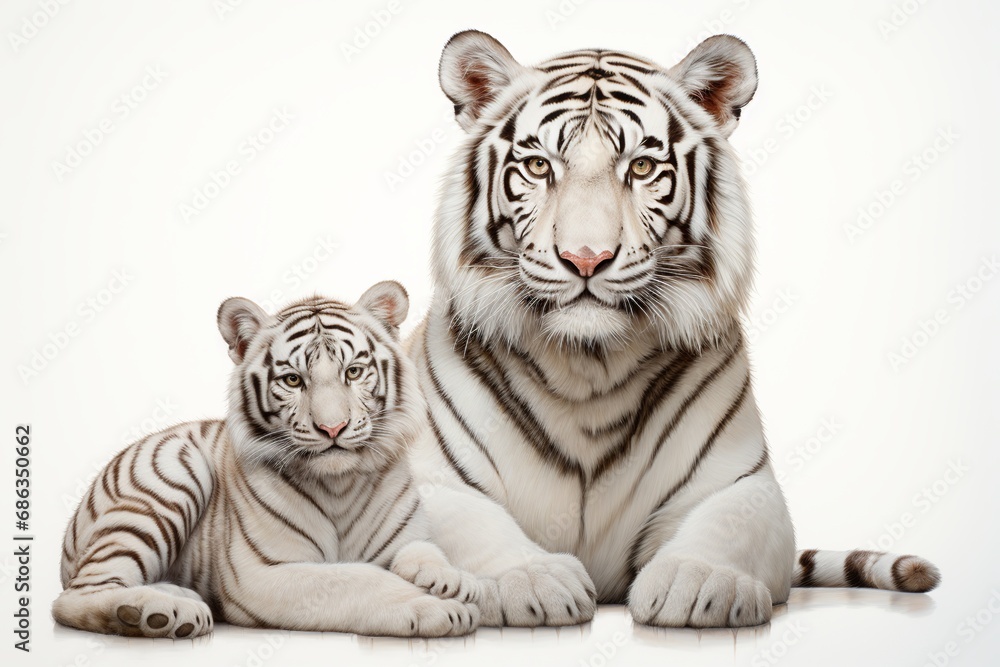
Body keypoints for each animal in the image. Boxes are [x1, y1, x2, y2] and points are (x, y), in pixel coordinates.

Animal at [53, 281, 482, 638]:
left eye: (354, 372)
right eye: (293, 380)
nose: (333, 428)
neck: (339, 483)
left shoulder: (405, 537)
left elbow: (423, 550)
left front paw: (453, 581)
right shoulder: (262, 573)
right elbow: (357, 579)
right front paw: (436, 607)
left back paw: (180, 599)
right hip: (167, 484)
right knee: (75, 597)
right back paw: (160, 614)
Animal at [404, 30, 941, 628]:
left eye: (640, 168)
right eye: (540, 166)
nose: (585, 258)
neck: (588, 365)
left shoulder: (739, 482)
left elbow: (725, 529)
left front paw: (700, 583)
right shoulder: (433, 478)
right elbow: (473, 528)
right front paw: (533, 580)